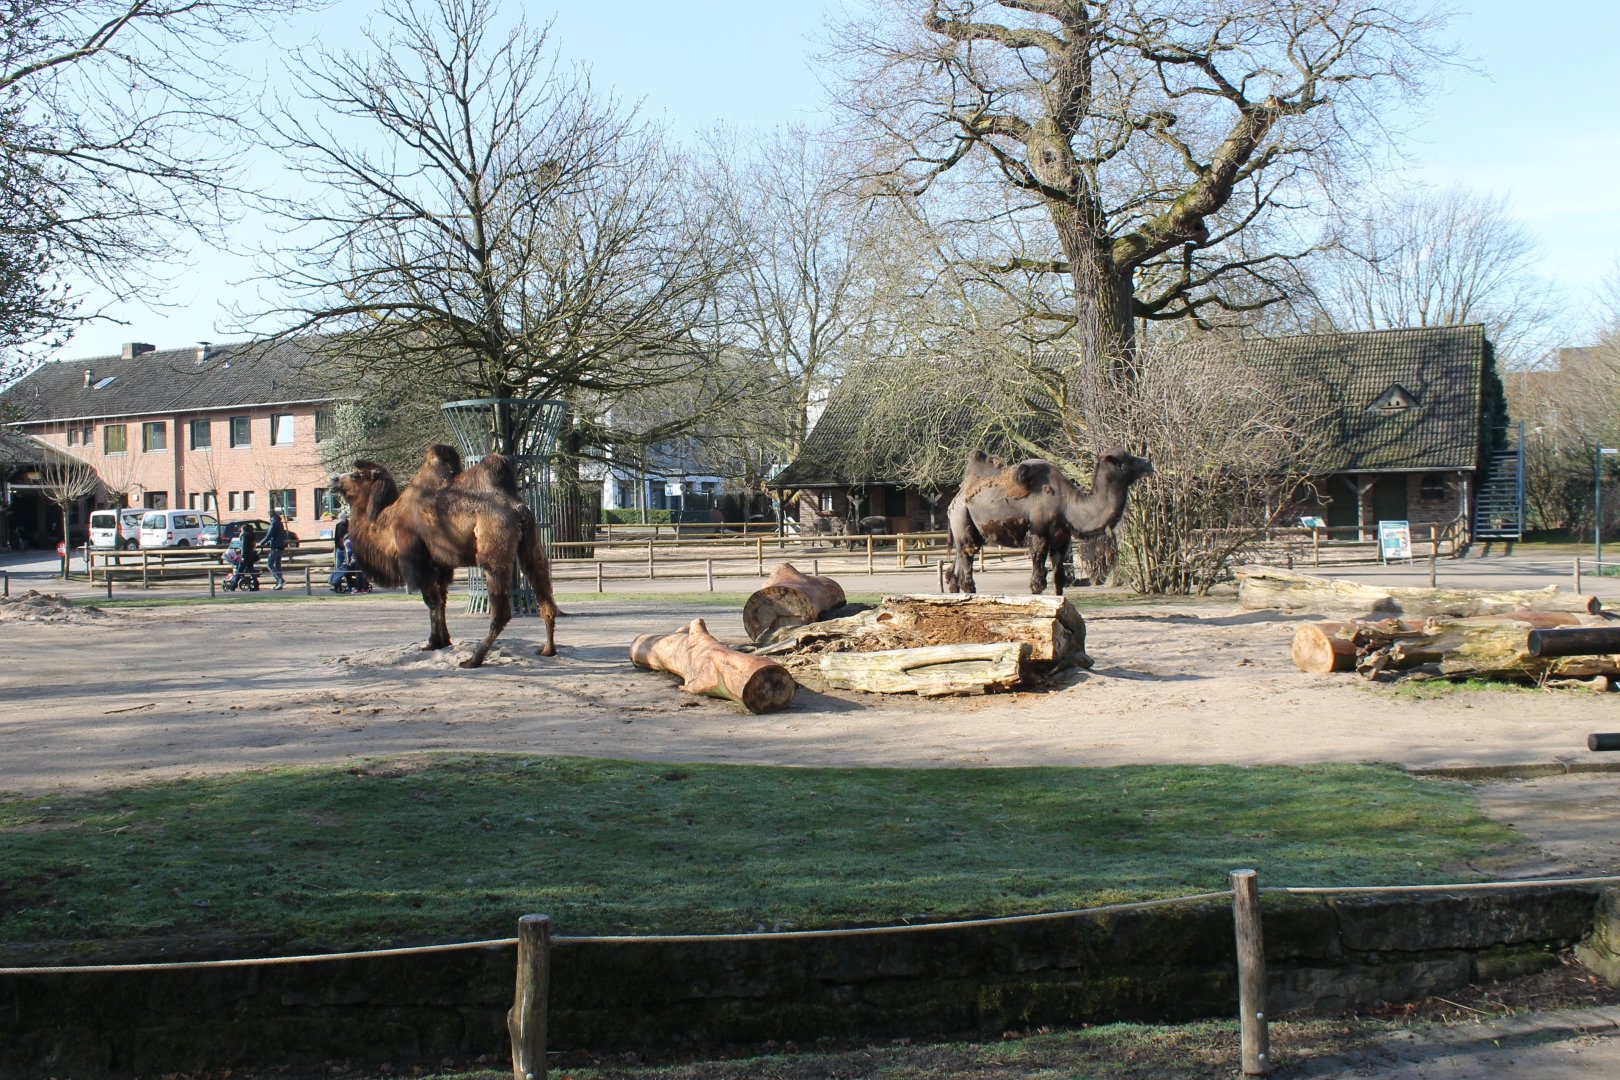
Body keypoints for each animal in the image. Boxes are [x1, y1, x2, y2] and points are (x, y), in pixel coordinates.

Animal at [329, 445, 559, 668]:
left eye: (357, 475)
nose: (333, 480)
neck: (385, 521)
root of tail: (519, 509)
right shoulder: (440, 565)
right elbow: (441, 601)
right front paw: (442, 641)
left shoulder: (418, 561)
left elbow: (431, 600)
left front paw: (434, 642)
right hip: (532, 544)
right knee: (543, 591)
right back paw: (547, 650)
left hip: (493, 554)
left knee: (501, 610)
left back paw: (473, 660)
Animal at [944, 447, 1154, 596]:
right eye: (1128, 459)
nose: (1149, 463)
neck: (1066, 504)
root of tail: (955, 500)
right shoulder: (1039, 532)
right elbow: (1038, 579)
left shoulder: (1062, 538)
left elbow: (1059, 578)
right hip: (962, 516)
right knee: (967, 556)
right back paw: (969, 592)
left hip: (970, 527)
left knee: (958, 563)